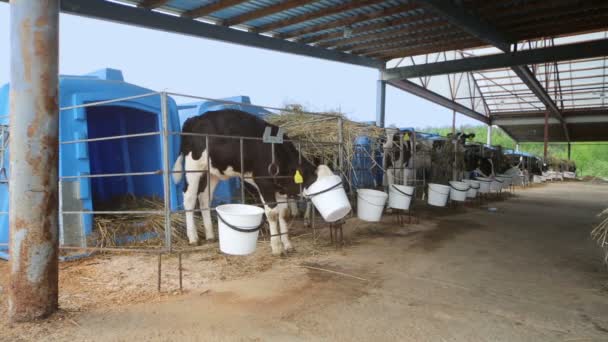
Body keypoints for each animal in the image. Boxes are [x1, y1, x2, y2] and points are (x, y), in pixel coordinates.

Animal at [171, 109, 332, 254]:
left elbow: (283, 214)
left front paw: (287, 244)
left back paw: (210, 235)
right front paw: (277, 247)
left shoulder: (280, 188)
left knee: (204, 198)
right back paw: (193, 237)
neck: (276, 151)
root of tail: (194, 118)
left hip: (212, 172)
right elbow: (272, 214)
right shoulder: (264, 184)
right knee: (189, 197)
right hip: (193, 166)